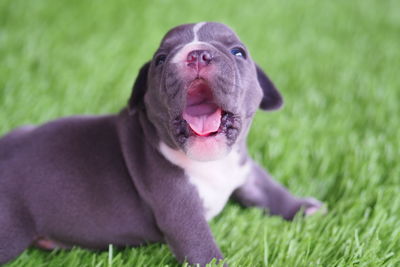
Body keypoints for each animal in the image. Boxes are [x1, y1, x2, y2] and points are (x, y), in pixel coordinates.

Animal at [0, 22, 322, 266]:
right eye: (160, 59)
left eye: (238, 52)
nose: (197, 54)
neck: (212, 162)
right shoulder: (182, 215)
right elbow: (204, 251)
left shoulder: (244, 168)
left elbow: (269, 189)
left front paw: (304, 208)